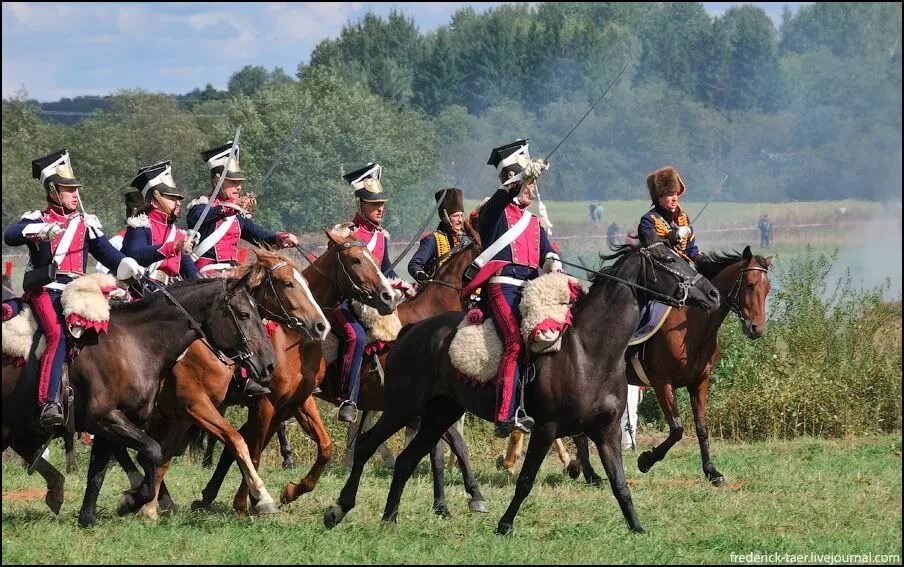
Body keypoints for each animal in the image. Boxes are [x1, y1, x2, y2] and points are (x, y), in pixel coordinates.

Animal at [191, 229, 400, 516]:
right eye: (355, 260)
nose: (389, 297)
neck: (293, 341)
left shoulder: (296, 403)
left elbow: (324, 447)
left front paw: (289, 492)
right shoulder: (266, 404)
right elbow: (254, 451)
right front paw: (248, 503)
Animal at [324, 242, 720, 536]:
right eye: (667, 260)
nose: (713, 294)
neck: (590, 351)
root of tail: (410, 331)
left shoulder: (606, 432)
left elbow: (620, 484)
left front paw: (637, 528)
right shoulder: (545, 428)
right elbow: (527, 479)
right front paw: (504, 525)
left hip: (440, 413)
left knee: (407, 459)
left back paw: (390, 518)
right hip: (402, 407)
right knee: (367, 445)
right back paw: (339, 509)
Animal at [568, 247, 772, 488]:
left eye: (767, 289)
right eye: (749, 284)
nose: (756, 328)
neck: (692, 328)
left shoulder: (699, 383)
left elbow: (701, 427)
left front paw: (712, 471)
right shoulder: (663, 384)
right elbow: (676, 429)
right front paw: (645, 460)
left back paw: (581, 469)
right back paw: (588, 472)